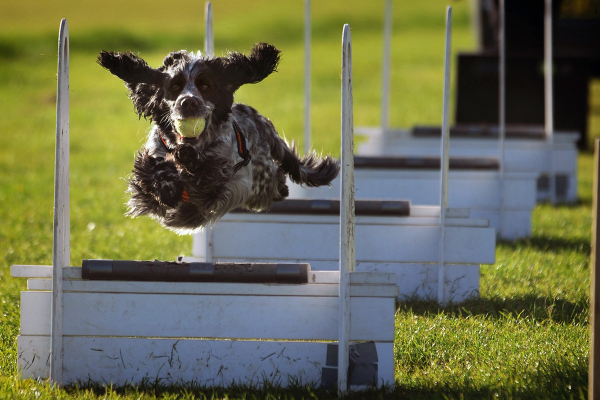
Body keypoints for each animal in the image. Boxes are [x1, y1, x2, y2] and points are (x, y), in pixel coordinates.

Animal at [101, 42, 340, 233]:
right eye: (174, 86)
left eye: (206, 86)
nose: (188, 102)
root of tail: (263, 123)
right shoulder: (151, 168)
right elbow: (151, 170)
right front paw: (167, 184)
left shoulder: (224, 181)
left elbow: (209, 175)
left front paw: (188, 161)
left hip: (261, 183)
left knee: (277, 182)